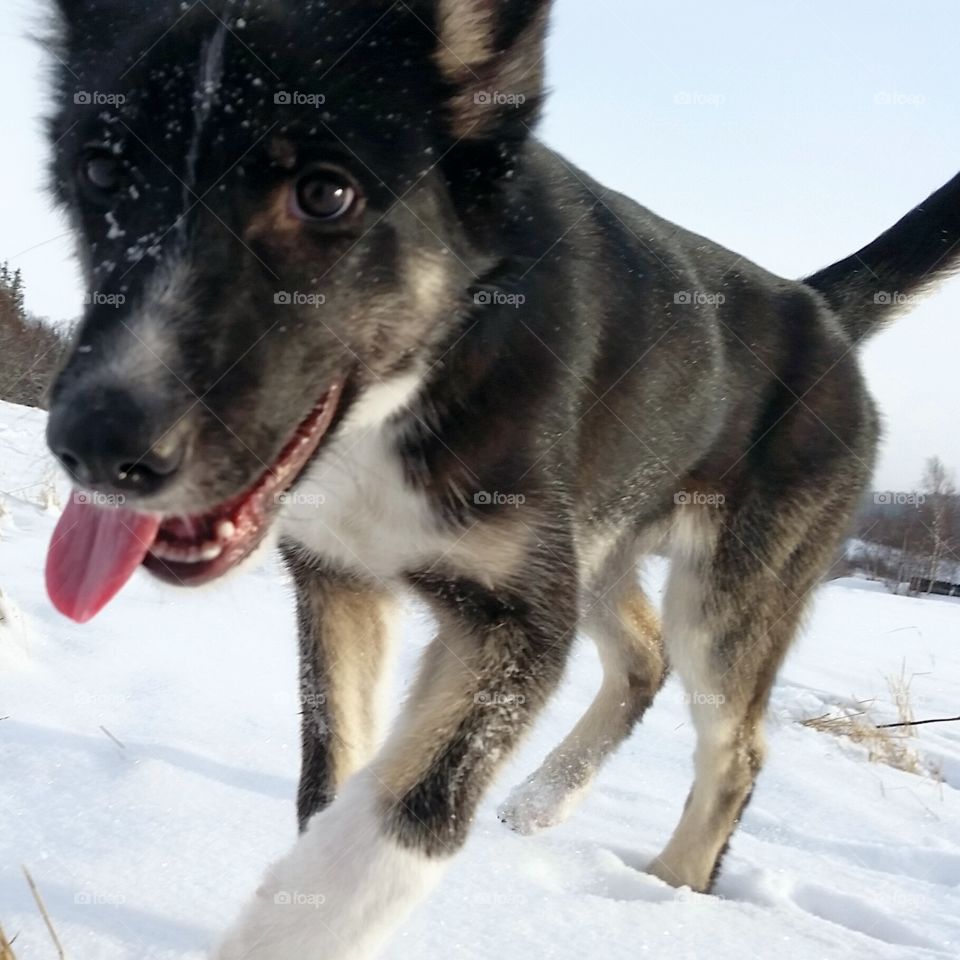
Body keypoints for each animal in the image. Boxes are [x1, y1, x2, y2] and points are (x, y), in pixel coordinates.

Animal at [41, 1, 956, 960]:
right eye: (100, 170)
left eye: (326, 193)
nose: (96, 446)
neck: (426, 371)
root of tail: (816, 307)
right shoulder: (341, 580)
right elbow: (331, 777)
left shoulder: (515, 620)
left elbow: (401, 820)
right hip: (599, 541)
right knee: (644, 656)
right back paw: (546, 802)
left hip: (730, 593)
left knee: (734, 748)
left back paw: (668, 894)